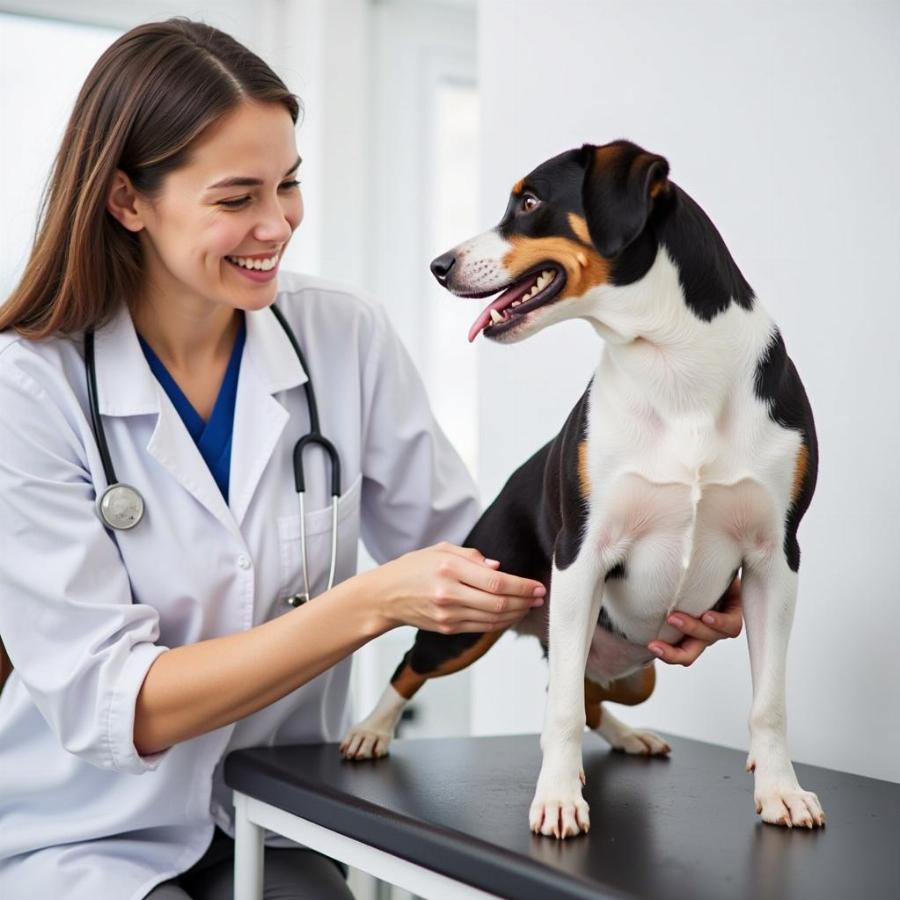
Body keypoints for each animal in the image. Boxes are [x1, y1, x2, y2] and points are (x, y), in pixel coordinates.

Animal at [342, 139, 828, 836]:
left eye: (529, 201)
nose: (438, 265)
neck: (674, 367)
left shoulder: (774, 560)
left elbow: (770, 703)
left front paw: (781, 792)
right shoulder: (583, 552)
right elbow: (563, 712)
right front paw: (558, 799)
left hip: (633, 671)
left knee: (590, 695)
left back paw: (630, 737)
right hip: (474, 612)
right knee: (423, 664)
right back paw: (371, 731)